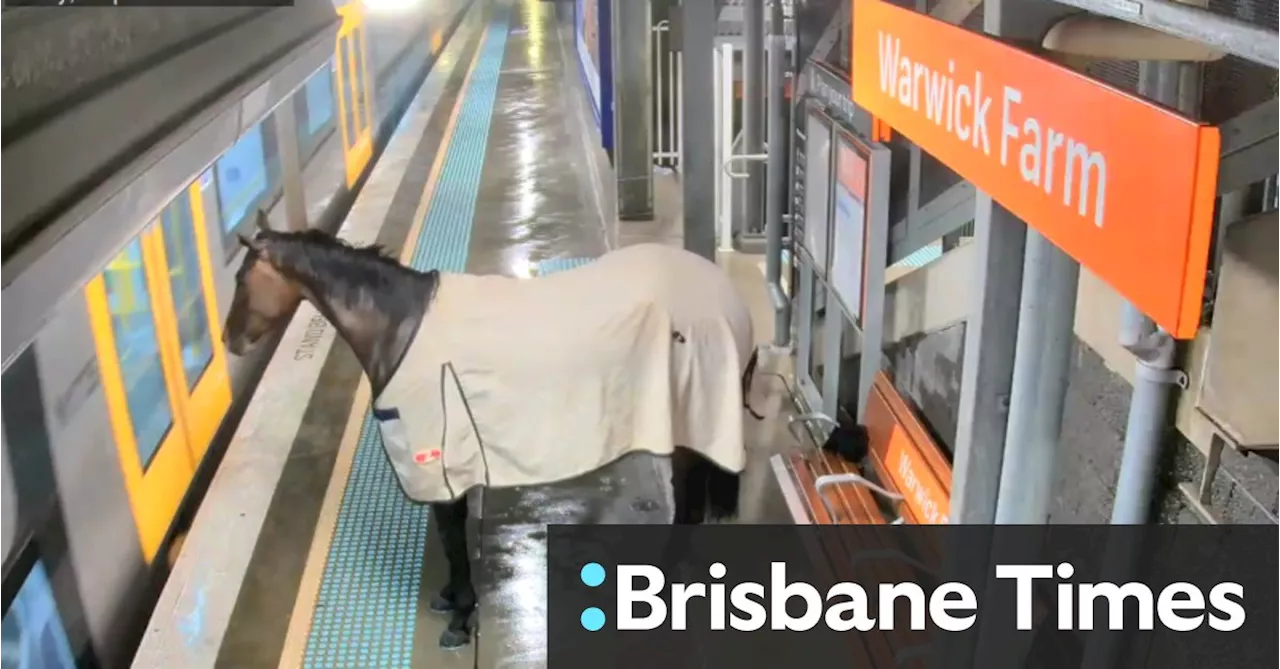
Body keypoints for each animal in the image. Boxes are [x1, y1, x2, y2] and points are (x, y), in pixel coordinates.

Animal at [220, 213, 757, 649]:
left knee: (688, 504)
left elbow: (452, 538)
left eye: (242, 278)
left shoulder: (436, 462)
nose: (229, 341)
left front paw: (460, 618)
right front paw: (450, 599)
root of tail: (728, 296)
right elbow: (453, 535)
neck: (399, 327)